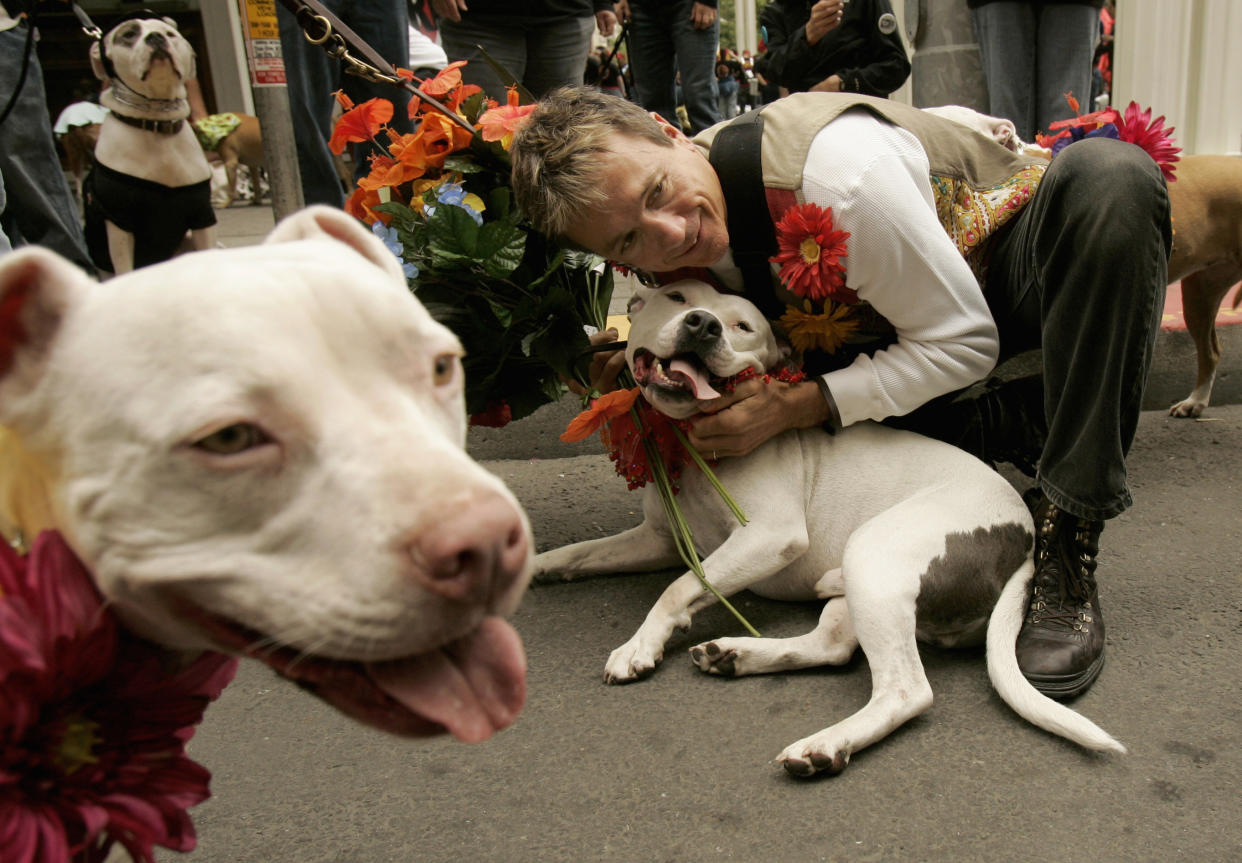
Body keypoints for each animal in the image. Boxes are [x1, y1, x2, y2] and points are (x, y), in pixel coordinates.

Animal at [536, 283, 1127, 774]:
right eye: (676, 296)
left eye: (743, 326)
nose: (703, 325)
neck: (693, 444)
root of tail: (1023, 538)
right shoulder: (659, 538)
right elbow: (585, 552)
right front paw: (540, 565)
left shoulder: (767, 535)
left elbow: (679, 588)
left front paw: (640, 645)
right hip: (867, 585)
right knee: (834, 646)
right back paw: (737, 656)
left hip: (875, 553)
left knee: (906, 691)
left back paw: (825, 743)